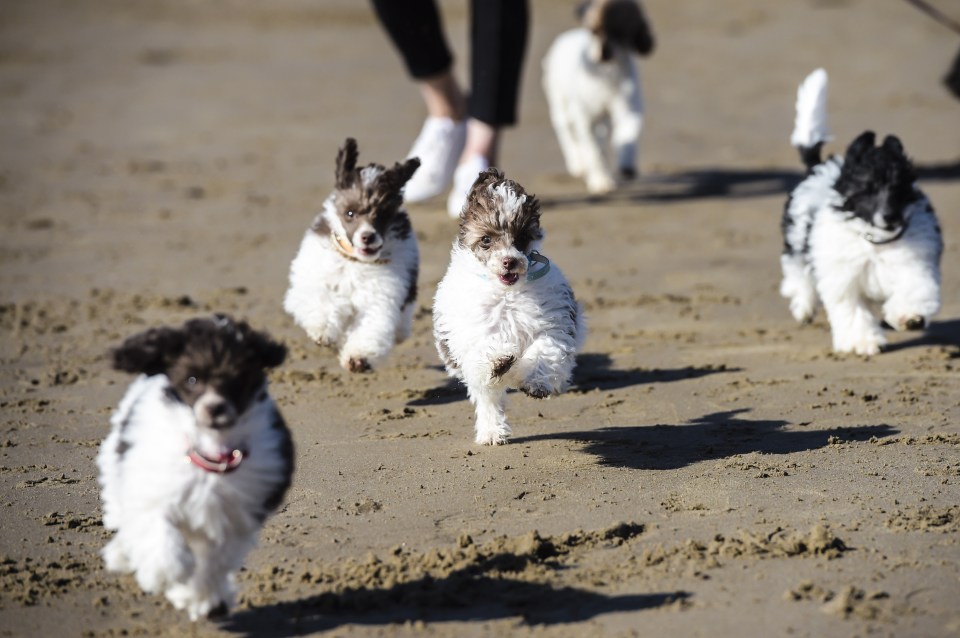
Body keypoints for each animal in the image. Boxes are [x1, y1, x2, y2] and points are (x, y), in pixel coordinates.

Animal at [97, 318, 294, 624]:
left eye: (237, 379)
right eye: (192, 379)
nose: (215, 408)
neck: (212, 452)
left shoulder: (232, 517)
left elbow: (214, 560)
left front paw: (202, 597)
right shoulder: (153, 488)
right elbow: (157, 526)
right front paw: (166, 569)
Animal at [284, 138, 422, 372]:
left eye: (382, 215)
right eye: (350, 213)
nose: (368, 237)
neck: (356, 261)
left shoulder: (381, 295)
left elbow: (372, 324)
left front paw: (359, 357)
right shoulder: (318, 278)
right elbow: (322, 301)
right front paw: (323, 331)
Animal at [544, 0, 656, 195]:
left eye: (620, 33)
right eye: (594, 31)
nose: (605, 52)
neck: (606, 73)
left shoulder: (629, 109)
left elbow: (628, 135)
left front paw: (626, 164)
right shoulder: (586, 118)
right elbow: (593, 151)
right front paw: (600, 181)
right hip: (561, 107)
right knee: (569, 135)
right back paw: (578, 163)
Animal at [780, 73, 944, 360]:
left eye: (898, 188)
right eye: (867, 190)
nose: (890, 217)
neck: (875, 241)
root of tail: (818, 166)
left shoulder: (914, 265)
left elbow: (915, 288)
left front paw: (911, 316)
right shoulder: (843, 280)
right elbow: (852, 311)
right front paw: (862, 342)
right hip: (797, 237)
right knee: (797, 272)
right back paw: (803, 306)